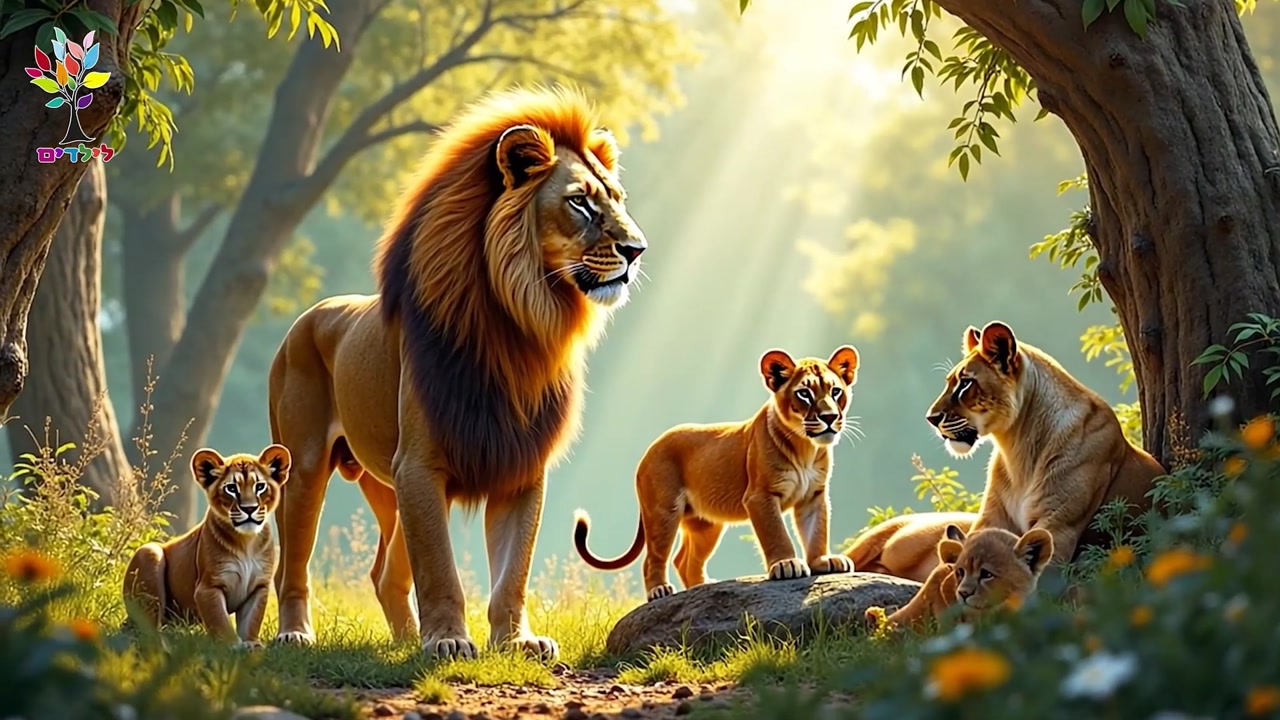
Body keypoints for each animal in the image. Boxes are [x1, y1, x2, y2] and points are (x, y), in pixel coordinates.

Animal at [123, 445, 291, 647]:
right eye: (231, 488)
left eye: (260, 486)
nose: (249, 509)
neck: (246, 542)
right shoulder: (207, 587)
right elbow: (220, 621)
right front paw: (233, 646)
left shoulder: (258, 588)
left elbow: (251, 621)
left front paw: (251, 645)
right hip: (149, 553)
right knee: (147, 628)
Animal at [267, 86, 647, 661]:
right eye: (579, 201)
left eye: (618, 199)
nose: (636, 249)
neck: (519, 328)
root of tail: (307, 317)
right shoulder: (420, 465)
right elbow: (440, 568)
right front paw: (447, 640)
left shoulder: (519, 464)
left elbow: (513, 571)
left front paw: (516, 641)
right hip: (305, 466)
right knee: (293, 567)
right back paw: (296, 634)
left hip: (386, 481)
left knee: (385, 574)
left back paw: (402, 643)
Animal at [574, 346, 860, 601]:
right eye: (804, 393)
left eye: (835, 391)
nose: (829, 417)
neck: (806, 447)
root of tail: (649, 450)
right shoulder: (760, 496)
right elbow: (776, 533)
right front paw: (787, 564)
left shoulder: (814, 496)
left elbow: (817, 531)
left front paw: (823, 561)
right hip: (663, 511)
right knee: (653, 558)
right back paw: (659, 591)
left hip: (706, 525)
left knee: (683, 560)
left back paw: (703, 588)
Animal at [925, 321, 1166, 564]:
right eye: (949, 382)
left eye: (965, 383)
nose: (931, 418)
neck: (1016, 446)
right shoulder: (992, 518)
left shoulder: (1058, 527)